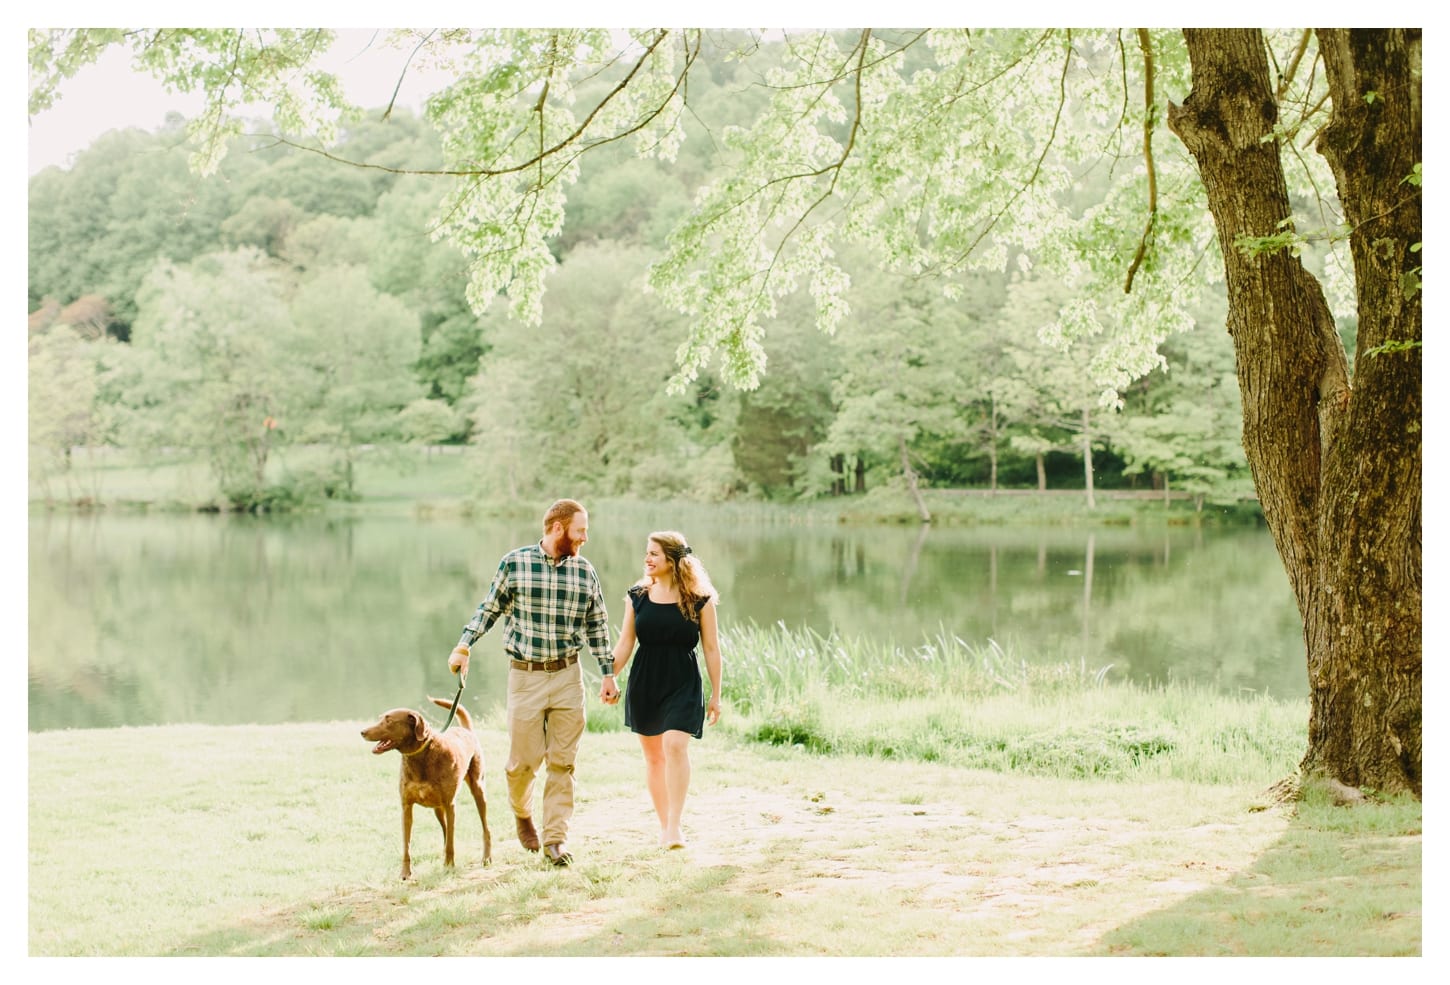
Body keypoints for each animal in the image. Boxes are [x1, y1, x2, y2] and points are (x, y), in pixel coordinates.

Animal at [361, 696, 493, 882]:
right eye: (381, 718)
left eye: (389, 720)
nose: (362, 732)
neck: (419, 757)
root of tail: (467, 731)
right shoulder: (406, 807)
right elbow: (407, 845)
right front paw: (405, 873)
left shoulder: (450, 805)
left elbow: (451, 842)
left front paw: (449, 867)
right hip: (438, 808)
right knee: (445, 831)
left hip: (478, 790)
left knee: (484, 828)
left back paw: (486, 857)